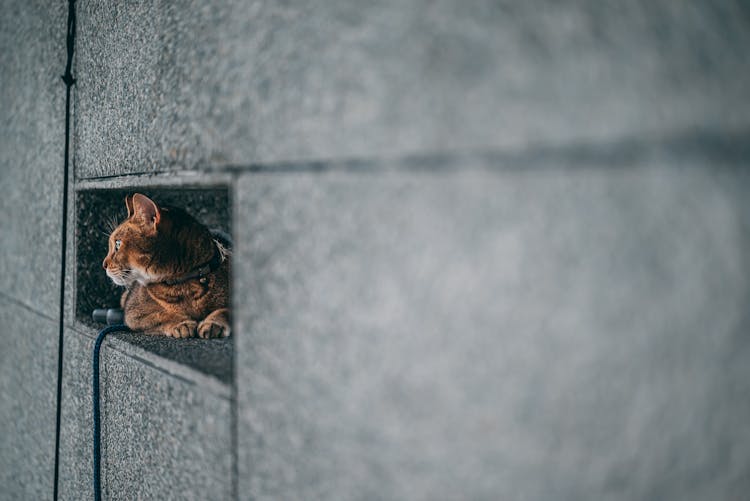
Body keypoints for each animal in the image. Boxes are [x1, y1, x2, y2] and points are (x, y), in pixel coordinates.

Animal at [103, 193, 231, 338]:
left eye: (118, 244)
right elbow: (160, 315)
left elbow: (225, 310)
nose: (104, 264)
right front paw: (182, 324)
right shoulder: (134, 313)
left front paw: (213, 323)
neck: (182, 285)